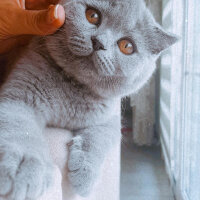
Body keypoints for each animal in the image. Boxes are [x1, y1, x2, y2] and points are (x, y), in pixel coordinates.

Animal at [0, 0, 177, 198]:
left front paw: (84, 174)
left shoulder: (109, 118)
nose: (99, 42)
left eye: (127, 46)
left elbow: (101, 137)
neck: (74, 87)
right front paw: (23, 169)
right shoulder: (18, 97)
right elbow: (20, 130)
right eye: (92, 15)